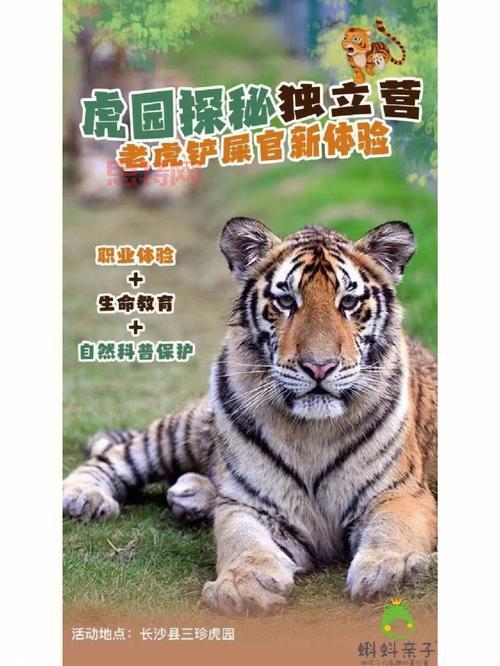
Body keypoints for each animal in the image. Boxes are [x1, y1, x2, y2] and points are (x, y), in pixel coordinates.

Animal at [63, 217, 437, 616]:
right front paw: (243, 585)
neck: (312, 433)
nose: (319, 367)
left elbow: (393, 528)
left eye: (349, 303)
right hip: (185, 430)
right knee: (121, 455)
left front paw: (390, 570)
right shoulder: (250, 506)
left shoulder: (401, 493)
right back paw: (83, 496)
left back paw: (191, 496)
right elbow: (242, 540)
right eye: (286, 301)